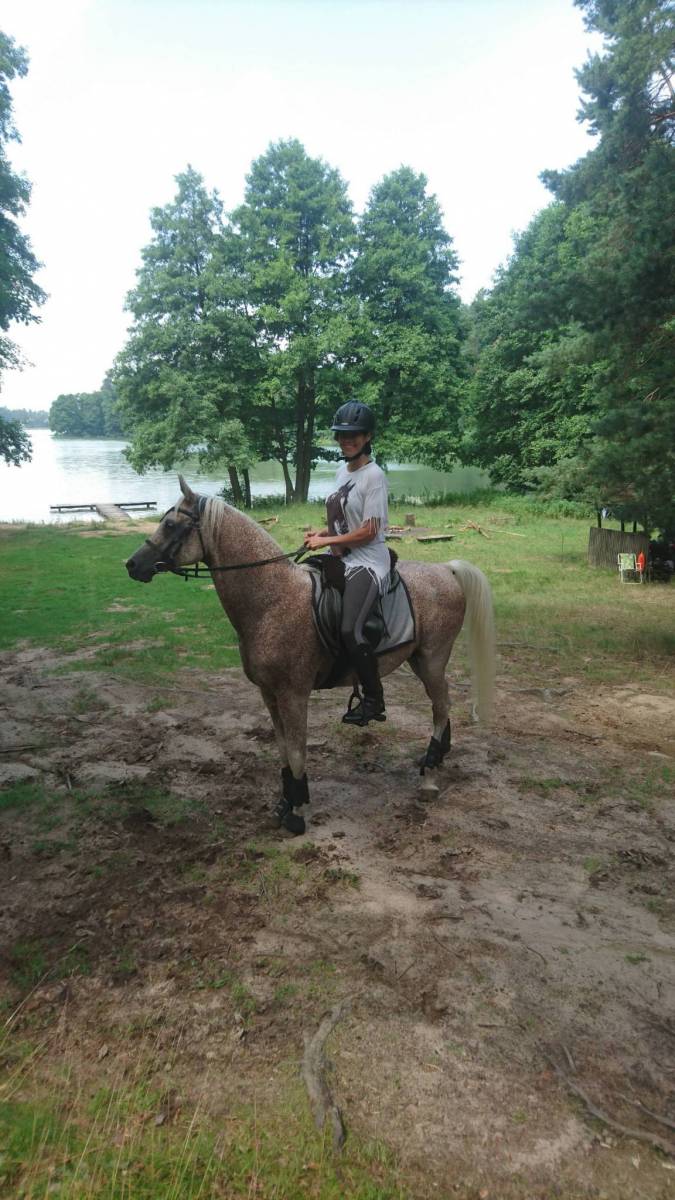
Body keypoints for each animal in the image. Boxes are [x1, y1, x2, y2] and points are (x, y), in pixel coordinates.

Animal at [125, 476, 495, 834]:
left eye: (170, 524)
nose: (131, 565)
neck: (273, 600)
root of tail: (446, 570)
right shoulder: (269, 694)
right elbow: (283, 749)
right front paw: (284, 803)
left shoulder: (294, 694)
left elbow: (297, 751)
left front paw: (298, 810)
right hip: (418, 659)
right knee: (441, 705)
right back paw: (438, 756)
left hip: (432, 658)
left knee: (441, 705)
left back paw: (430, 773)